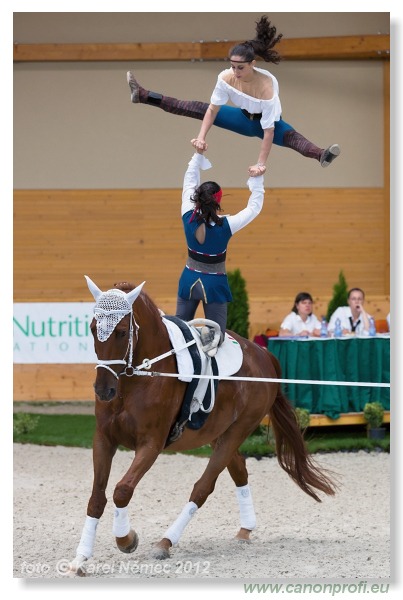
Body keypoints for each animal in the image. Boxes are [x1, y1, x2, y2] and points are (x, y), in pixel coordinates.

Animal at [70, 278, 338, 576]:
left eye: (120, 331)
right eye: (93, 328)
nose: (103, 390)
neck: (136, 377)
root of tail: (264, 355)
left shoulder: (151, 444)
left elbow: (121, 490)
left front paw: (126, 540)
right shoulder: (103, 439)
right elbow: (97, 497)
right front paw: (81, 557)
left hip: (238, 430)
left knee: (203, 487)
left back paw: (165, 542)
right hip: (218, 433)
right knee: (239, 470)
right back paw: (245, 530)